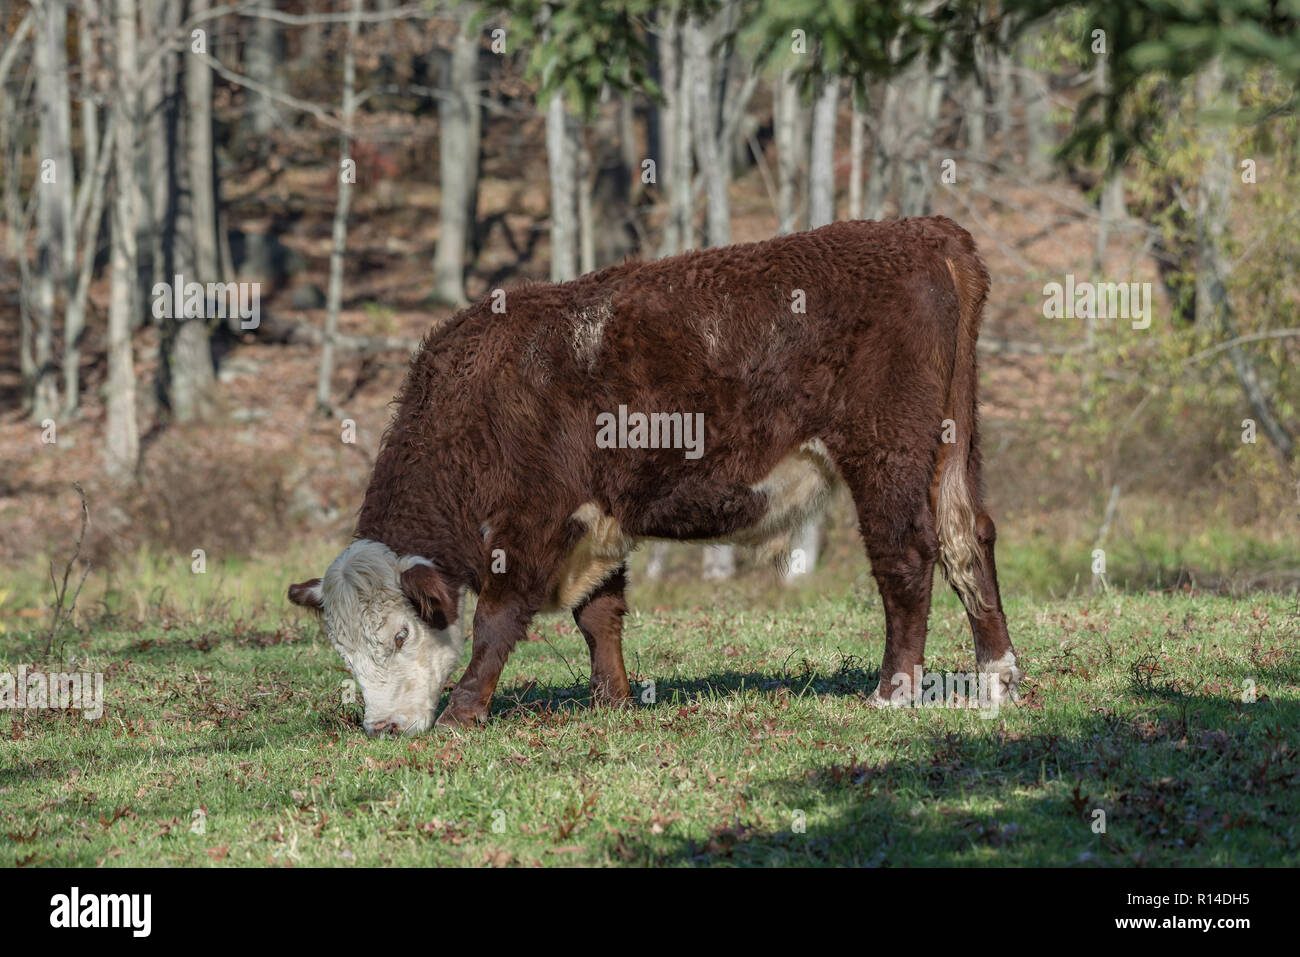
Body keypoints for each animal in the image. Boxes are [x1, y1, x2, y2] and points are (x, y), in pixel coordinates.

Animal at [289, 217, 1019, 733]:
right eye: (342, 652)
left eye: (399, 633)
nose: (383, 727)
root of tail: (920, 230)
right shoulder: (597, 521)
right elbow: (599, 614)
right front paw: (612, 700)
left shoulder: (532, 523)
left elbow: (497, 619)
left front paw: (464, 711)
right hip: (953, 446)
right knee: (968, 537)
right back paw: (996, 678)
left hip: (885, 451)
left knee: (908, 555)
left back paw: (893, 692)